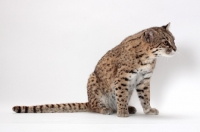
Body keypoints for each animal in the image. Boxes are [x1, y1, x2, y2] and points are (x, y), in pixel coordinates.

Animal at [12, 23, 176, 117]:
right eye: (166, 42)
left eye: (173, 40)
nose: (175, 49)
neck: (149, 58)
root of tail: (88, 102)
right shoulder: (122, 78)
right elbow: (121, 95)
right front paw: (122, 112)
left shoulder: (144, 80)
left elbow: (146, 97)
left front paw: (148, 111)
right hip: (92, 79)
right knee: (95, 106)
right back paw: (107, 109)